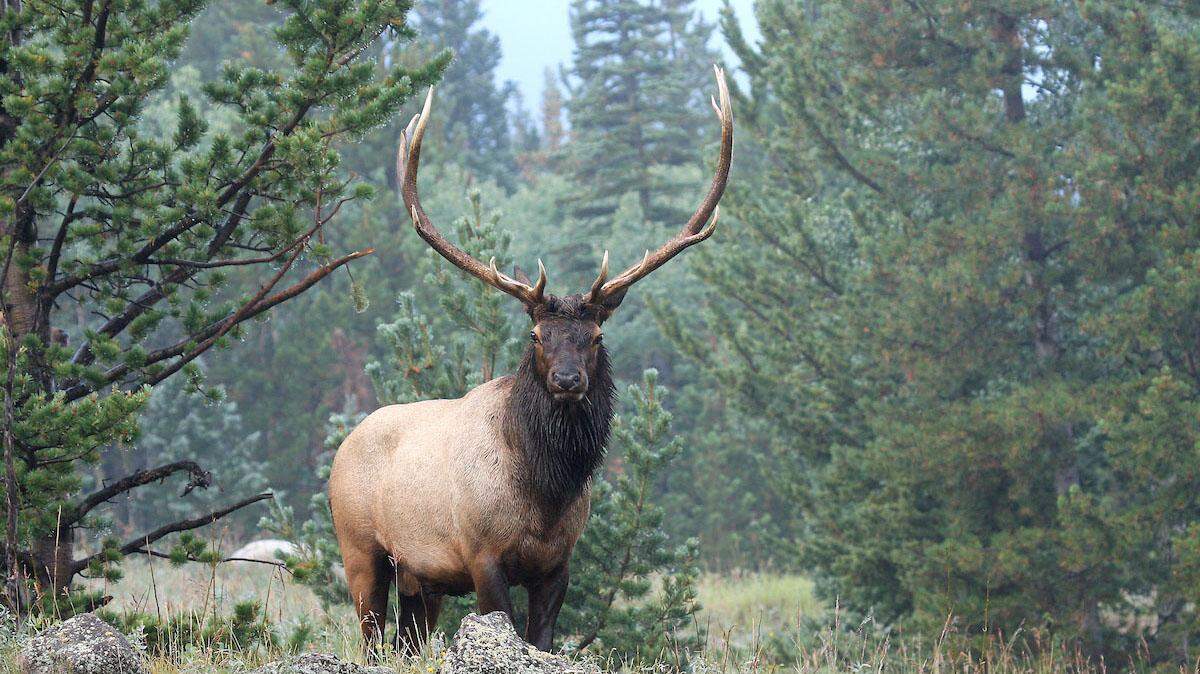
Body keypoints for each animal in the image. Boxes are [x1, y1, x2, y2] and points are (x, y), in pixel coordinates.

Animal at [327, 66, 732, 655]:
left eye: (594, 336)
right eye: (538, 335)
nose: (566, 379)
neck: (545, 495)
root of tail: (341, 448)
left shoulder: (558, 563)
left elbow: (541, 637)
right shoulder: (480, 553)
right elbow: (505, 627)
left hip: (420, 577)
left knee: (405, 638)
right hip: (360, 549)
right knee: (370, 633)